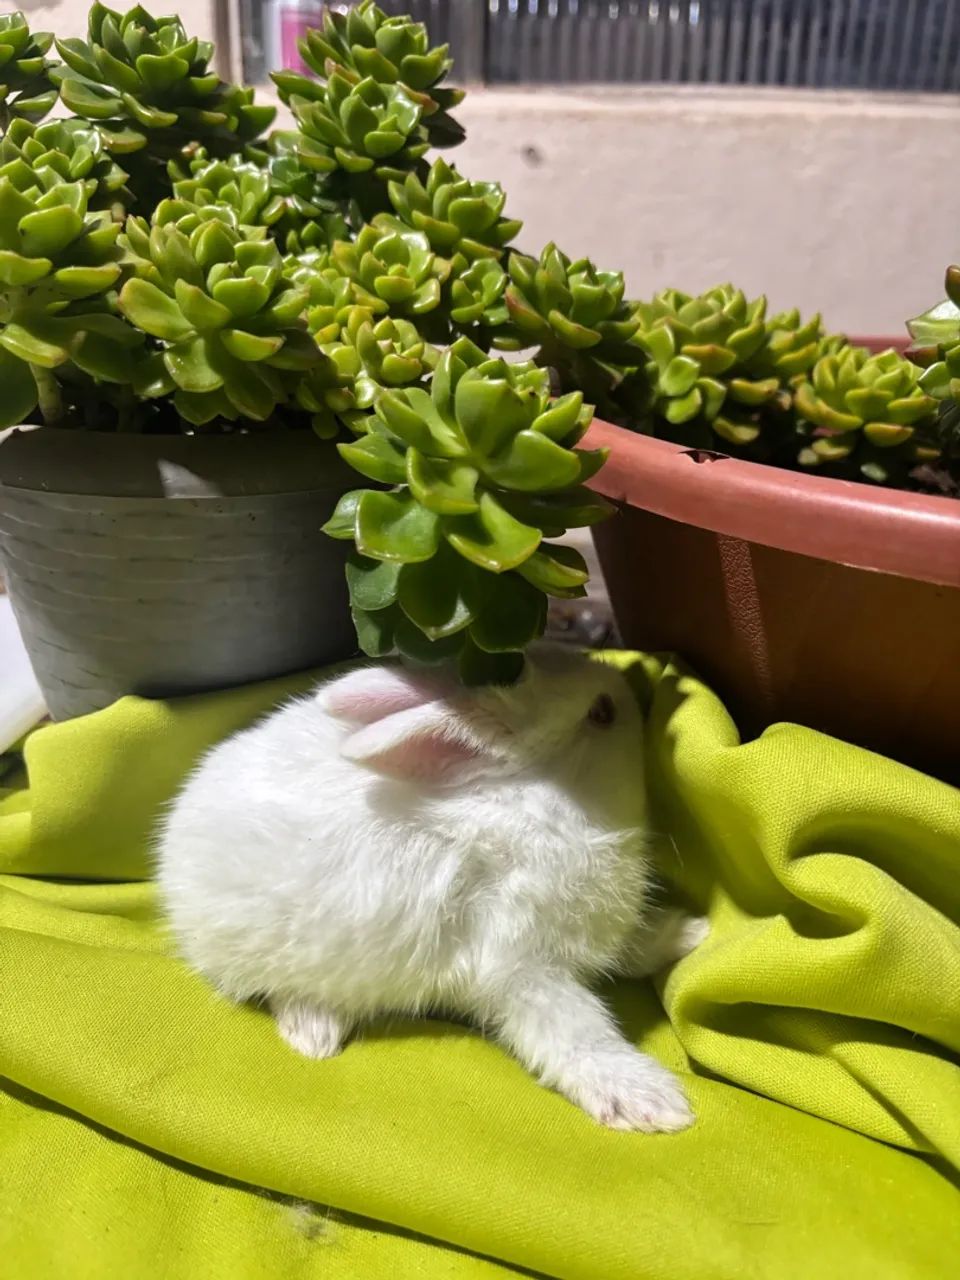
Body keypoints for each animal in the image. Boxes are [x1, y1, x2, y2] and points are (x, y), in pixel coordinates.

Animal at [155, 646, 707, 1133]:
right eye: (601, 713)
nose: (629, 688)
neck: (529, 806)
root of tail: (173, 843)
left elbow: (636, 947)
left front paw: (692, 935)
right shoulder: (520, 968)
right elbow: (576, 1035)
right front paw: (654, 1104)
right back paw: (314, 1035)